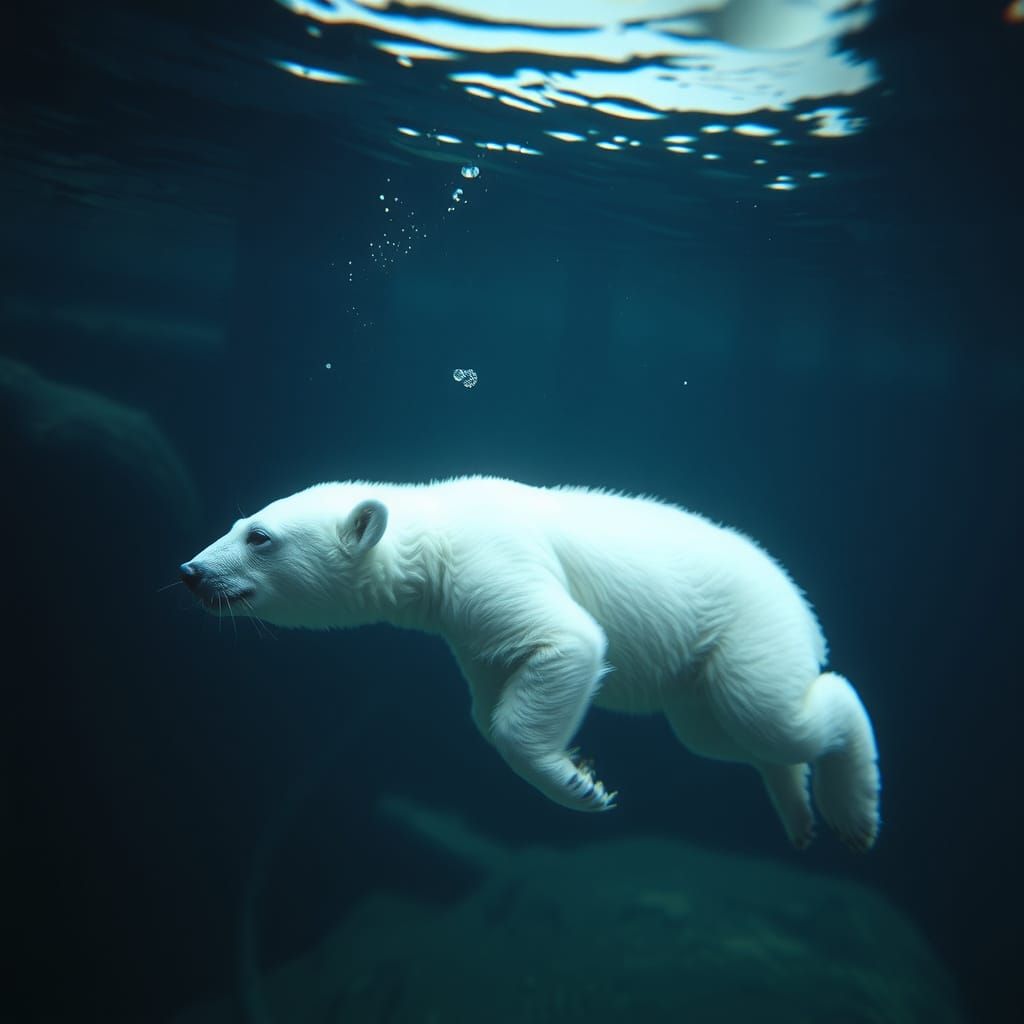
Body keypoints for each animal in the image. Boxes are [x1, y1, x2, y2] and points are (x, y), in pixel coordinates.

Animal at [180, 476, 881, 851]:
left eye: (259, 537)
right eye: (241, 521)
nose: (191, 571)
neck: (438, 528)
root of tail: (800, 605)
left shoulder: (492, 564)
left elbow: (567, 641)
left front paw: (580, 785)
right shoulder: (466, 626)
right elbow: (490, 700)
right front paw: (577, 769)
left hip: (747, 631)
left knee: (774, 711)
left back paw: (851, 813)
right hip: (698, 677)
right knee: (721, 734)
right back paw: (797, 816)